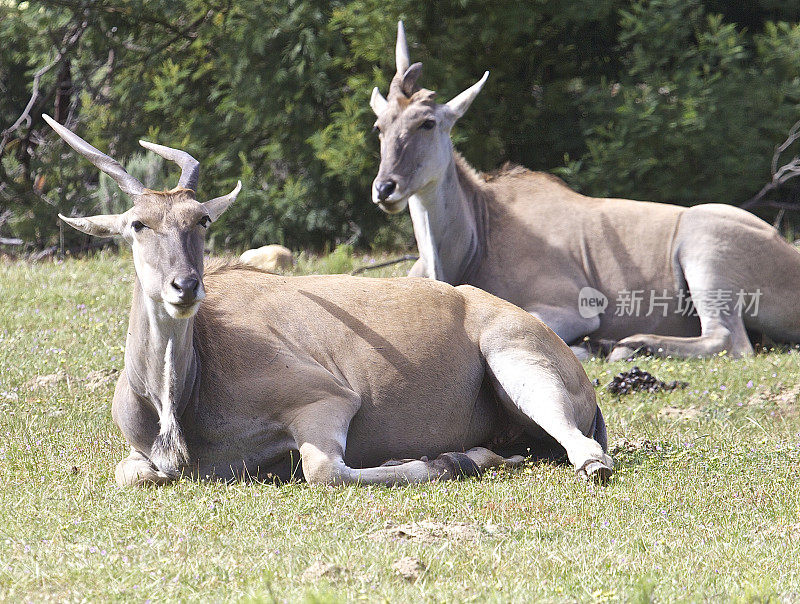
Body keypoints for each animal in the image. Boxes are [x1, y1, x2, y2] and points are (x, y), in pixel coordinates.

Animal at [45, 114, 612, 486]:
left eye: (201, 220)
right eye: (138, 225)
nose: (185, 287)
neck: (181, 390)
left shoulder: (327, 402)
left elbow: (323, 470)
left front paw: (448, 460)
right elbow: (132, 473)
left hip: (515, 358)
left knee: (586, 450)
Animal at [370, 23, 800, 360]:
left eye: (427, 123)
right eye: (380, 127)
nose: (385, 188)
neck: (482, 230)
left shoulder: (577, 307)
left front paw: (589, 347)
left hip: (705, 248)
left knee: (729, 341)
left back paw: (627, 345)